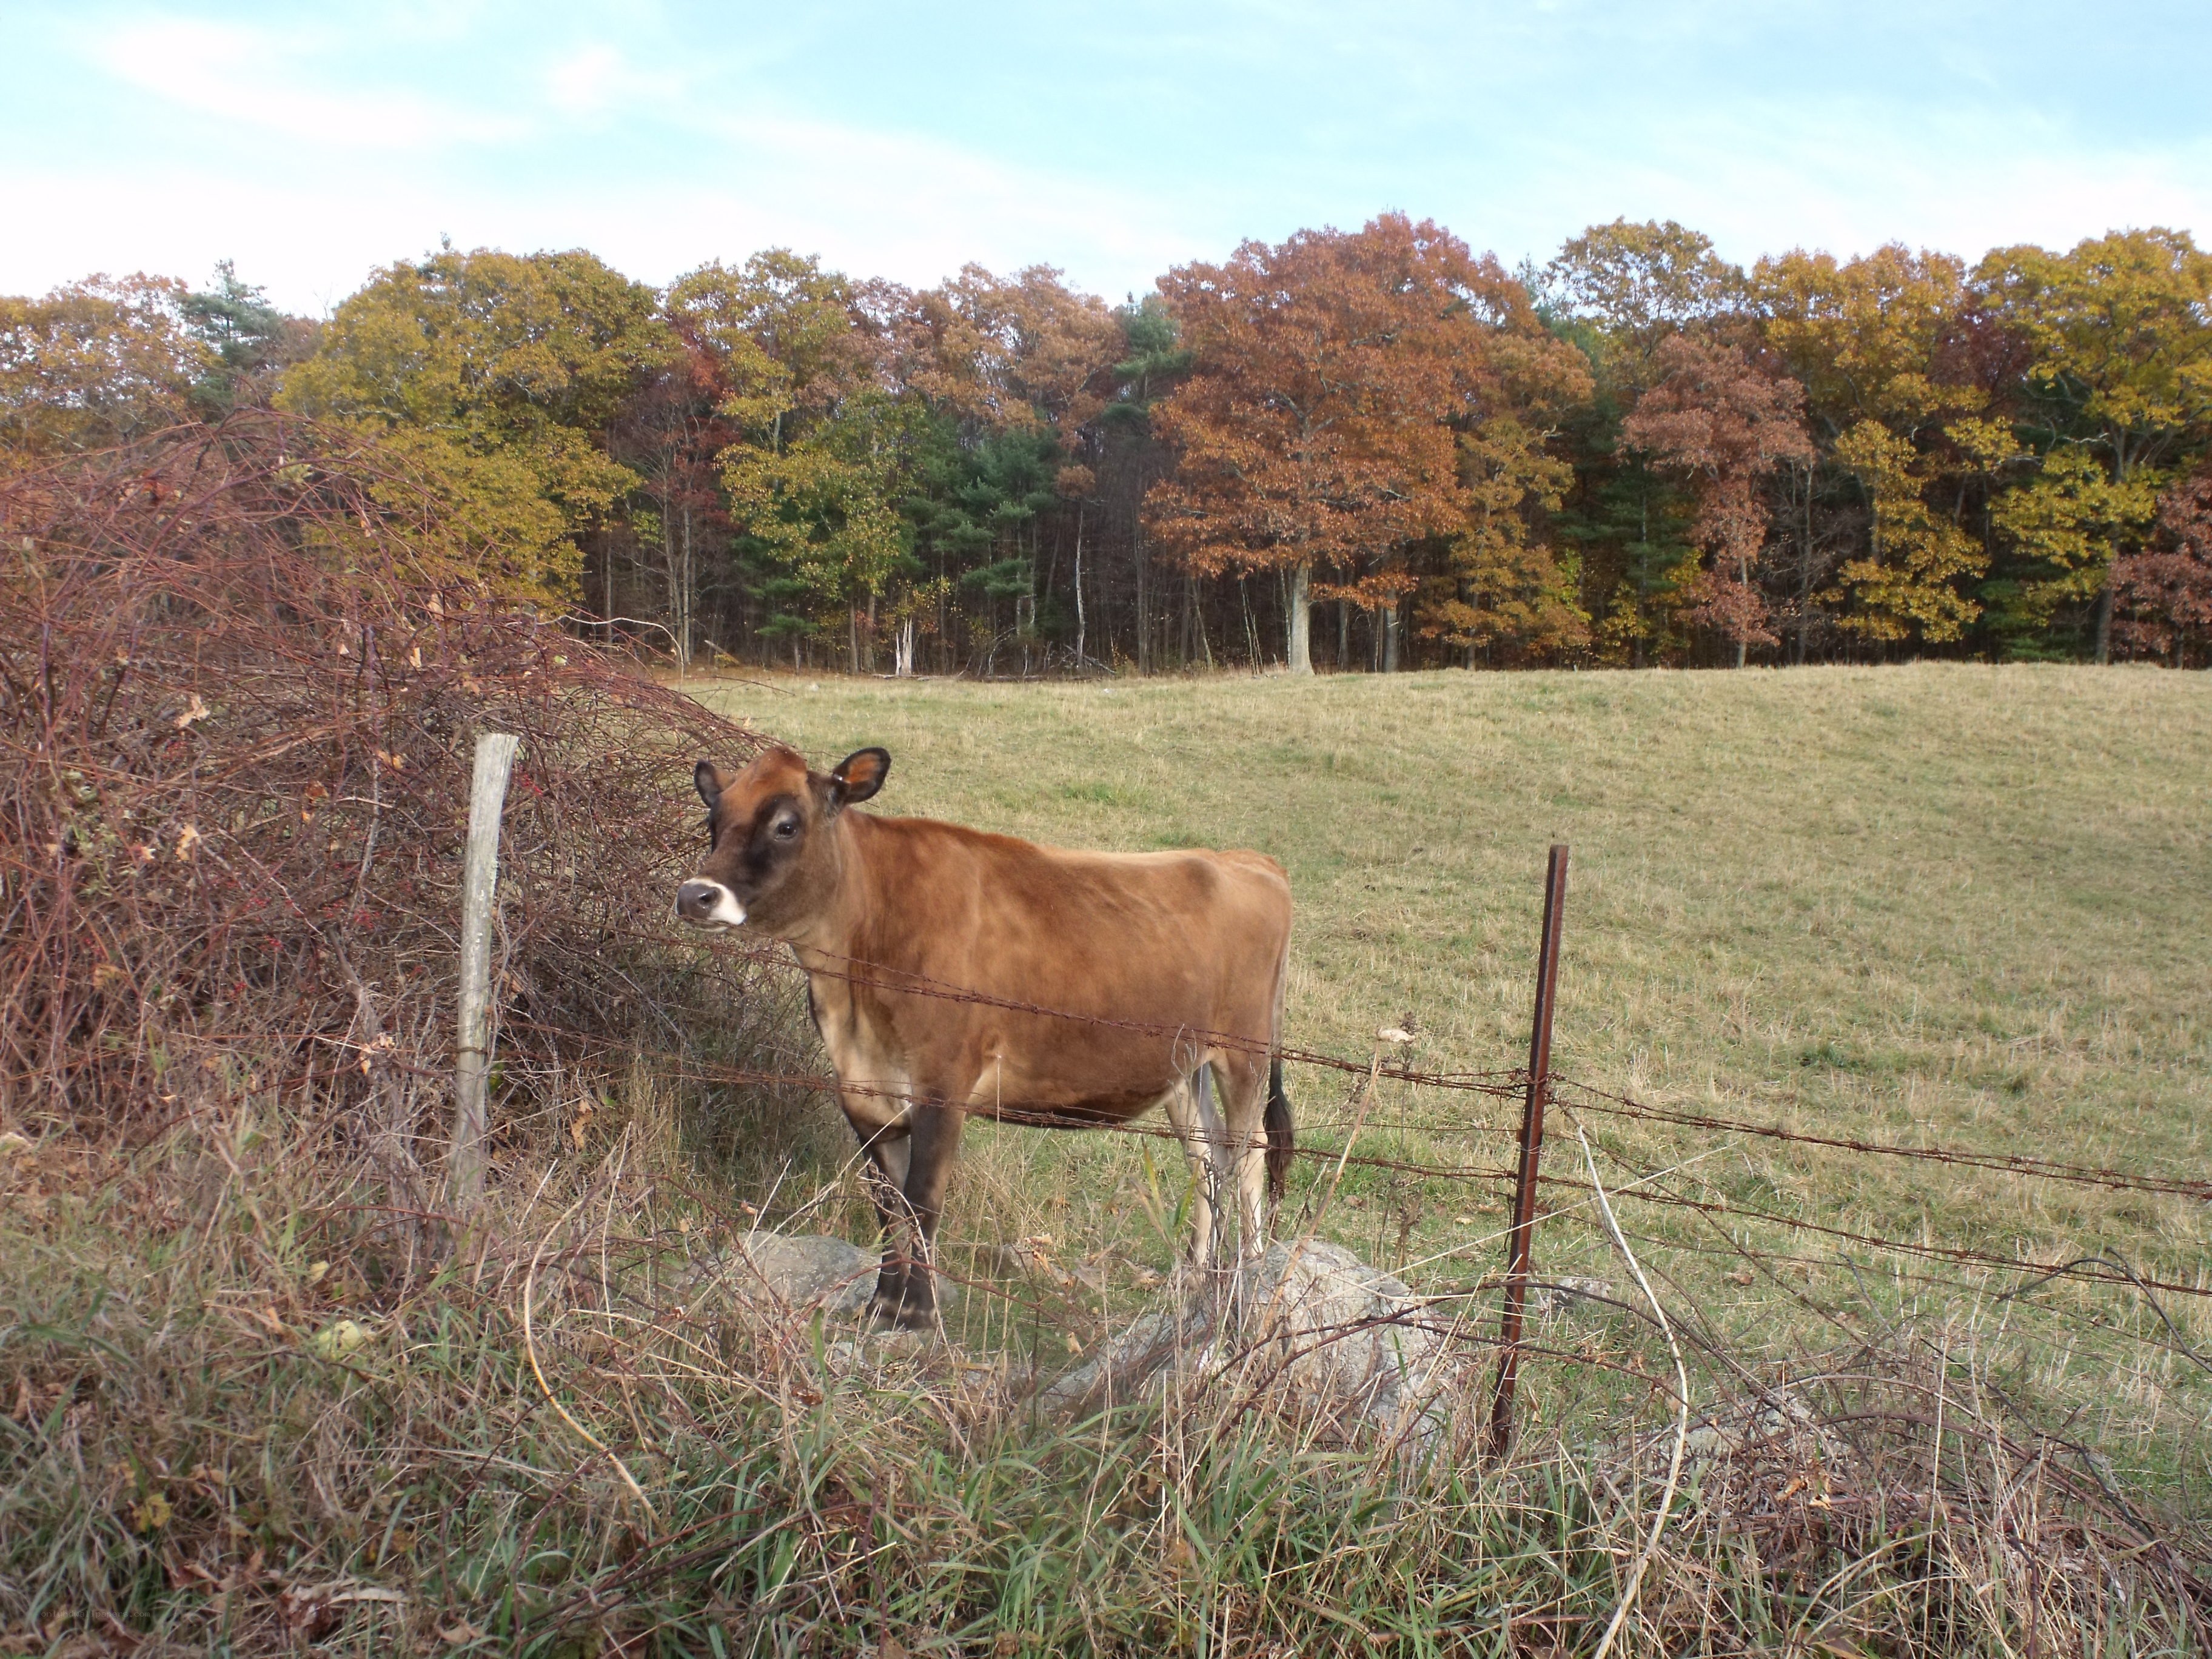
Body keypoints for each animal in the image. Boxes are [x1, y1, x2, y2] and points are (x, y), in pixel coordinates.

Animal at [674, 744, 1295, 1328]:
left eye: (786, 824)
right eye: (714, 819)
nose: (695, 896)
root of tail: (1248, 860)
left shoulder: (944, 1087)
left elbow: (922, 1203)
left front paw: (916, 1315)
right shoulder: (863, 1095)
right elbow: (888, 1210)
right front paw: (883, 1306)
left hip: (1243, 1053)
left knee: (1249, 1154)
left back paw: (1250, 1274)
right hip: (1184, 1066)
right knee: (1208, 1157)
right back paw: (1194, 1278)